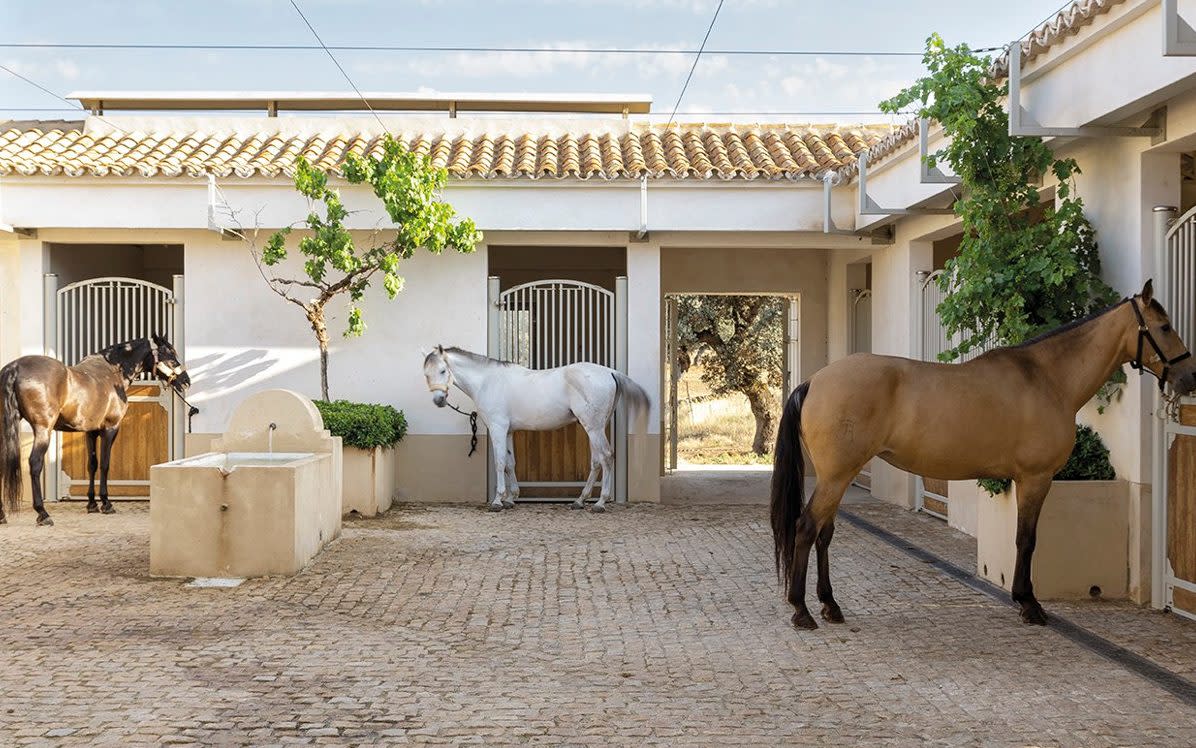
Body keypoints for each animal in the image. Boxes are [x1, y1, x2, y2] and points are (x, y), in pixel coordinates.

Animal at [0, 332, 188, 524]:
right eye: (170, 355)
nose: (185, 381)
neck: (113, 373)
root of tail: (15, 368)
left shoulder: (90, 432)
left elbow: (92, 464)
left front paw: (91, 504)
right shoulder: (110, 429)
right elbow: (105, 464)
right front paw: (106, 503)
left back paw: (2, 515)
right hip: (43, 430)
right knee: (35, 463)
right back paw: (43, 513)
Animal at [420, 344, 645, 512]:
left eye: (443, 370)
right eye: (426, 374)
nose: (439, 400)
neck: (487, 382)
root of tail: (609, 372)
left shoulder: (498, 428)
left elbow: (499, 462)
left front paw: (498, 501)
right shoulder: (508, 431)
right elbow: (510, 463)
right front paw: (511, 499)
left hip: (594, 428)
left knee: (606, 457)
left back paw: (600, 503)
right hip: (594, 427)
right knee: (596, 461)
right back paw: (580, 501)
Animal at [770, 277, 1191, 627]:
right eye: (1164, 327)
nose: (1189, 378)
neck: (1048, 378)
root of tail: (815, 381)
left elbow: (1023, 538)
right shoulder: (1036, 478)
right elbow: (1026, 539)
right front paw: (1029, 604)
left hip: (838, 477)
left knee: (824, 534)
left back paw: (830, 604)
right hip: (837, 477)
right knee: (806, 528)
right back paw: (802, 610)